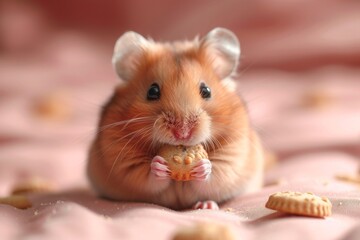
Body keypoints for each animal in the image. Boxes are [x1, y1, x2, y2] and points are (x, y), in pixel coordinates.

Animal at [86, 27, 262, 209]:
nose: (182, 133)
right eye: (152, 91)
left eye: (206, 91)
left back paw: (205, 205)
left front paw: (203, 167)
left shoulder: (234, 151)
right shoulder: (122, 159)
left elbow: (216, 174)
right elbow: (145, 176)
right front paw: (158, 166)